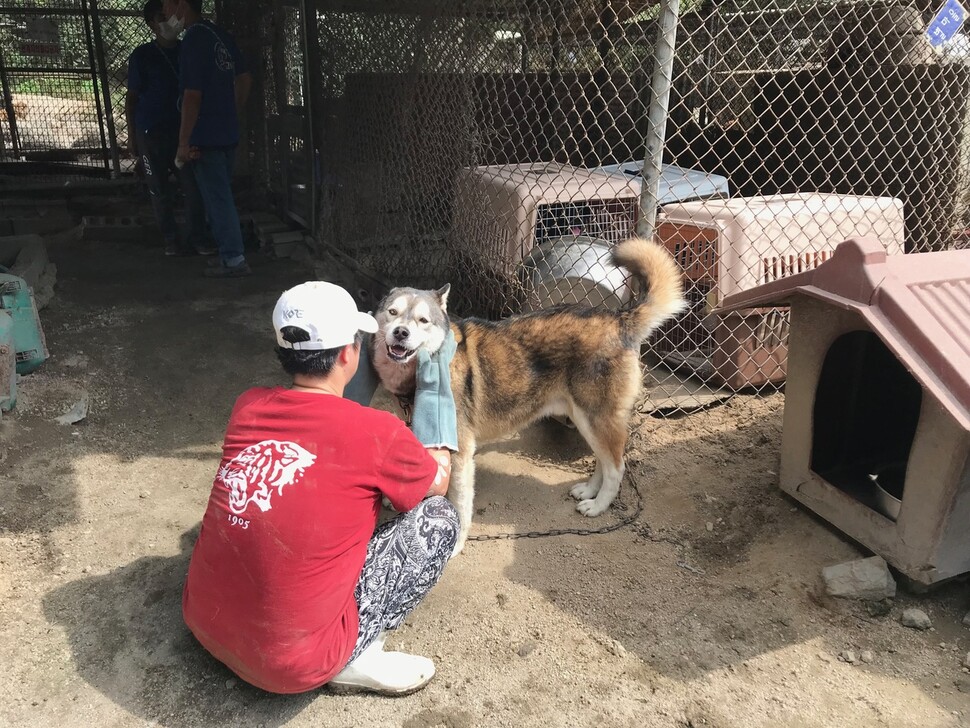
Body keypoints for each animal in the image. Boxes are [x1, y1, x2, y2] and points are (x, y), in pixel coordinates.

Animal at [368, 237, 680, 552]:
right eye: (392, 313)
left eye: (423, 320)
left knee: (617, 466)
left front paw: (456, 543)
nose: (401, 333)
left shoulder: (461, 453)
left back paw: (598, 505)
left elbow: (459, 504)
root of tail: (619, 319)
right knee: (604, 461)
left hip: (595, 418)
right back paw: (588, 491)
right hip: (585, 419)